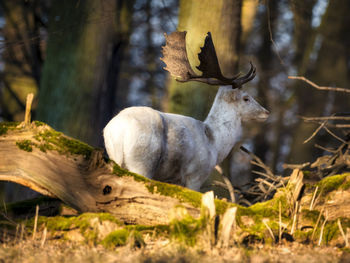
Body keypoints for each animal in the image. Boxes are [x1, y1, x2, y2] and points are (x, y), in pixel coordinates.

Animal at [102, 32, 270, 191]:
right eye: (246, 98)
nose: (266, 112)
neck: (214, 143)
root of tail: (115, 130)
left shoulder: (173, 179)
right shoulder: (196, 174)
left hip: (116, 158)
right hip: (142, 161)